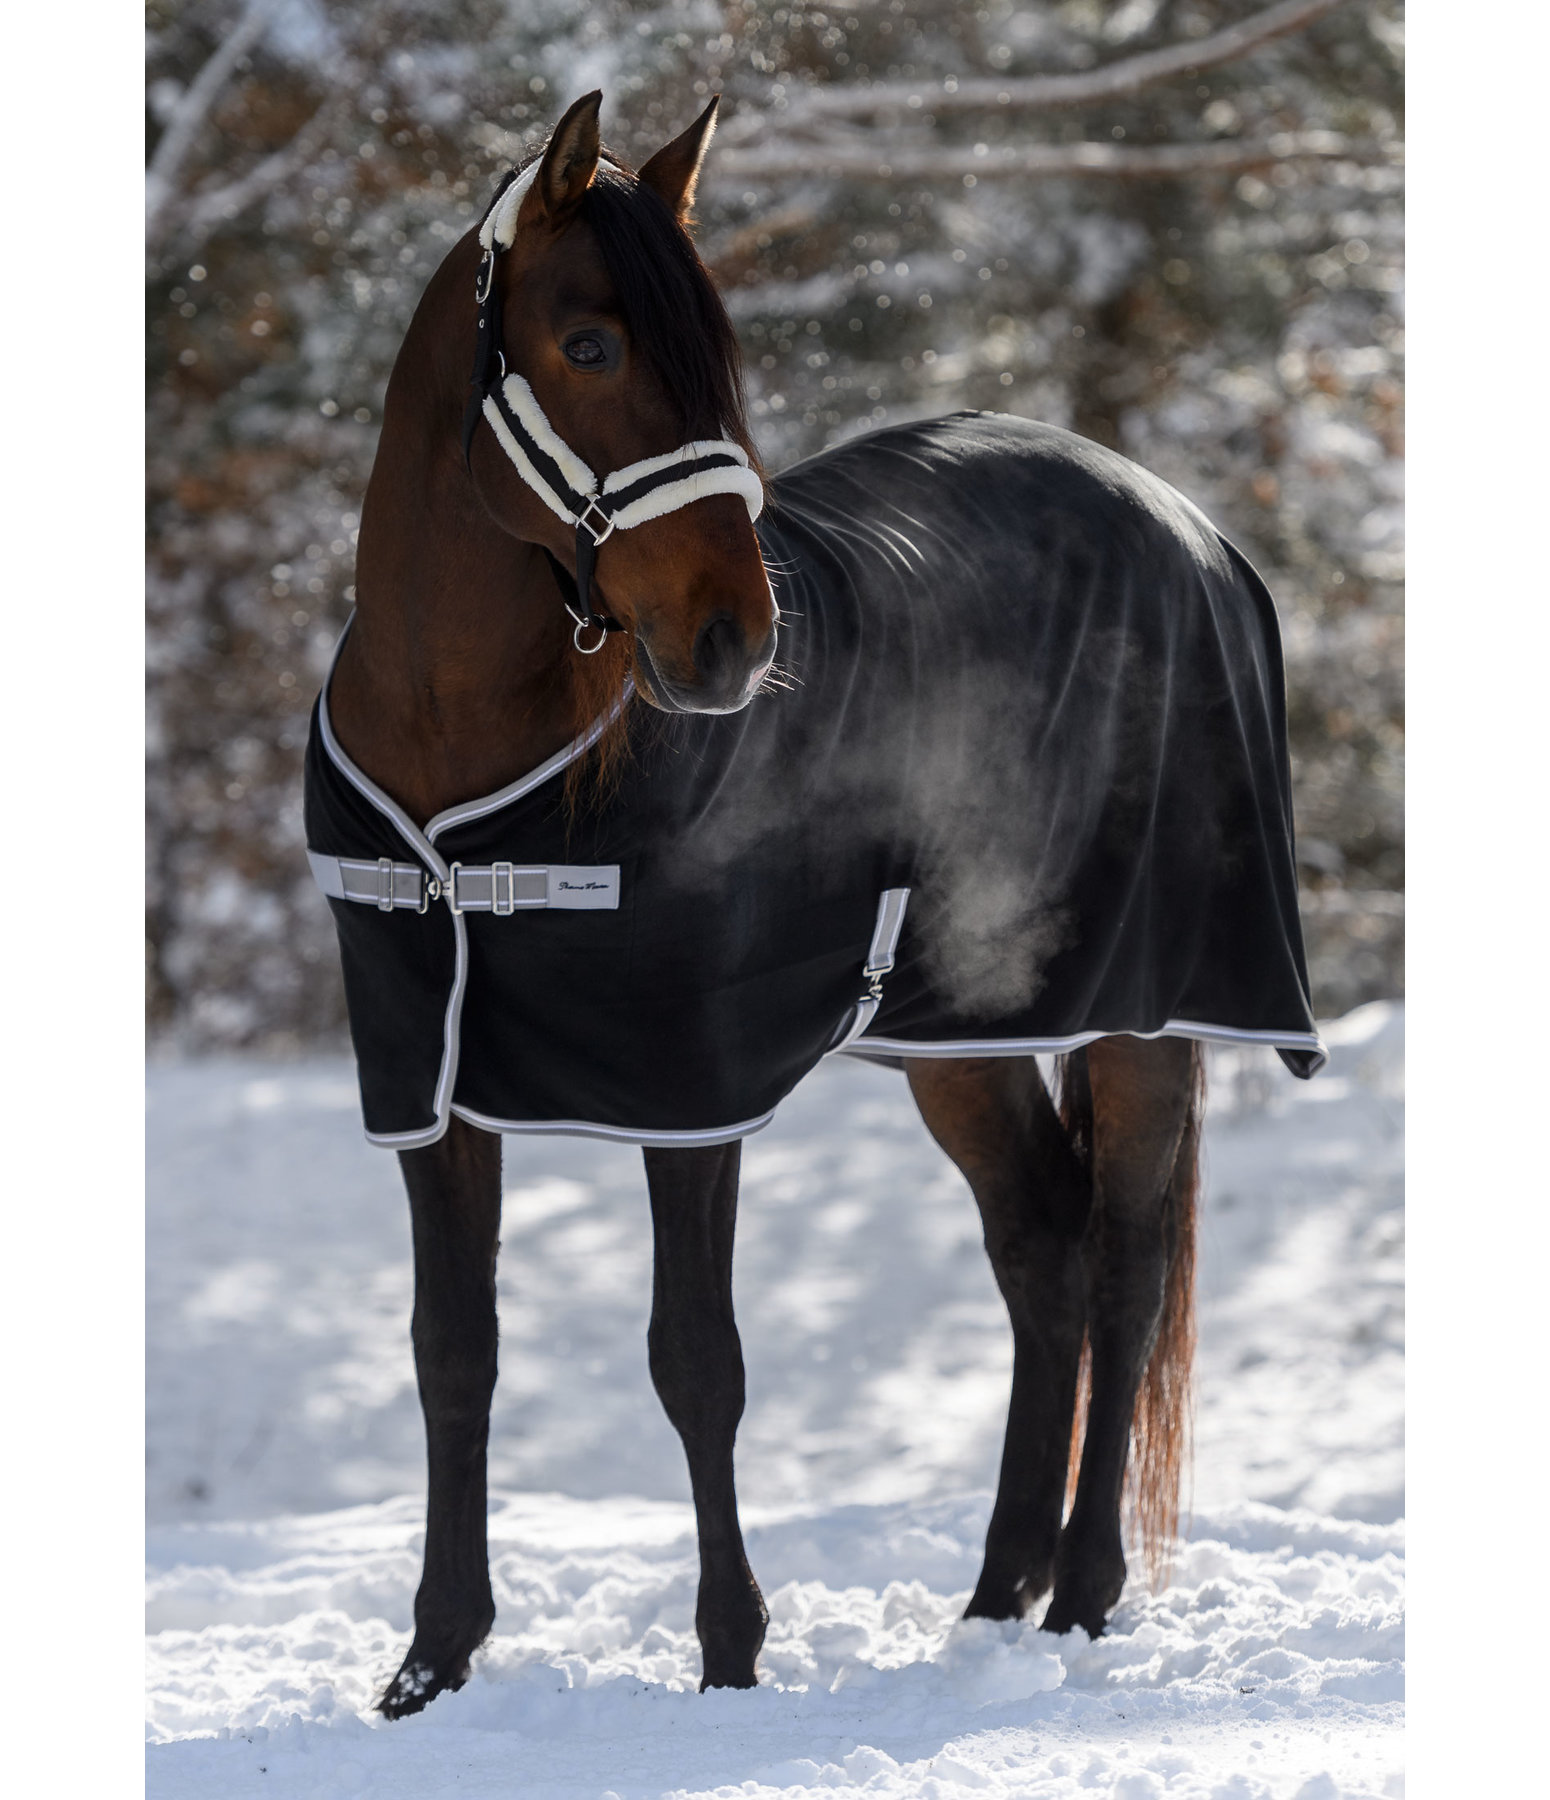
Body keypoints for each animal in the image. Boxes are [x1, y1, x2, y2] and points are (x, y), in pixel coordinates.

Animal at [305, 90, 1323, 1718]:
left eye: (718, 354)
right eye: (587, 346)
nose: (731, 640)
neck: (468, 751)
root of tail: (1189, 525)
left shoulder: (685, 1087)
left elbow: (695, 1361)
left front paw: (729, 1654)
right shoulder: (431, 1076)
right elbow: (451, 1350)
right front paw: (432, 1663)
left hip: (1144, 1011)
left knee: (1120, 1261)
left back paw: (1082, 1596)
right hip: (953, 1033)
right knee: (1039, 1249)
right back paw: (992, 1594)